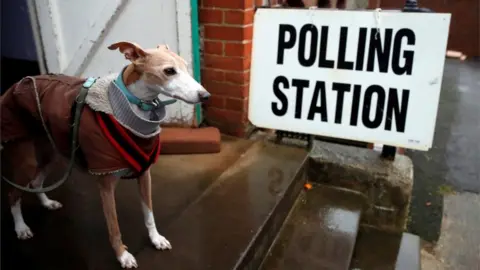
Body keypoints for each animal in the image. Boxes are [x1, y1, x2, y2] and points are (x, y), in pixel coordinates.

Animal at [0, 41, 210, 268]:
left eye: (186, 67)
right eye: (169, 71)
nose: (205, 96)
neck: (133, 109)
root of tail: (19, 82)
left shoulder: (144, 174)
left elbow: (149, 213)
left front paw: (156, 239)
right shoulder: (105, 183)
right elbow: (114, 226)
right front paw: (123, 255)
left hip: (52, 152)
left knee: (36, 181)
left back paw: (47, 203)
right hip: (26, 159)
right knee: (13, 194)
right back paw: (21, 228)